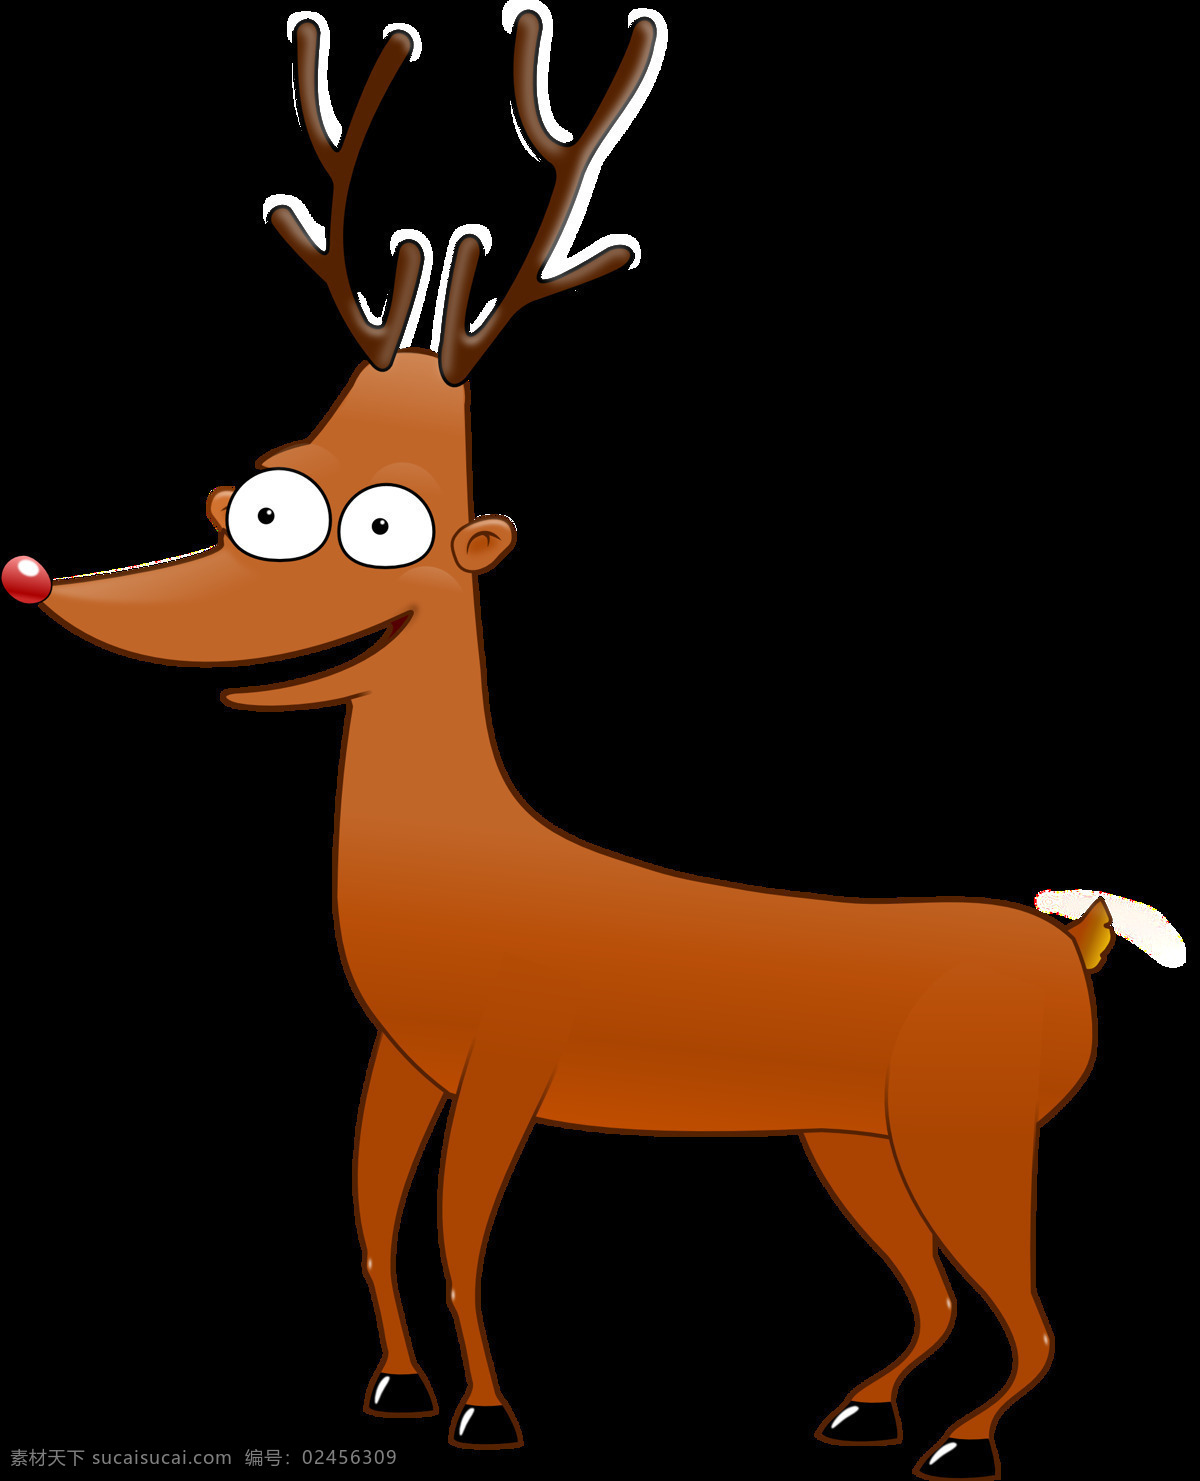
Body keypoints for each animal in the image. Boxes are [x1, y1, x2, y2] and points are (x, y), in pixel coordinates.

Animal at [3, 5, 1186, 1476]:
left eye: (375, 523)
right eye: (259, 500)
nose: (39, 581)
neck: (460, 861)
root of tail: (1073, 939)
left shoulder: (515, 1056)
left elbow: (459, 1231)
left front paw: (486, 1410)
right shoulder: (405, 1055)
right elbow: (373, 1214)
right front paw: (395, 1387)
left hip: (968, 1129)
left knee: (1031, 1314)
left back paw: (960, 1443)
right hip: (852, 1137)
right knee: (934, 1293)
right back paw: (861, 1408)